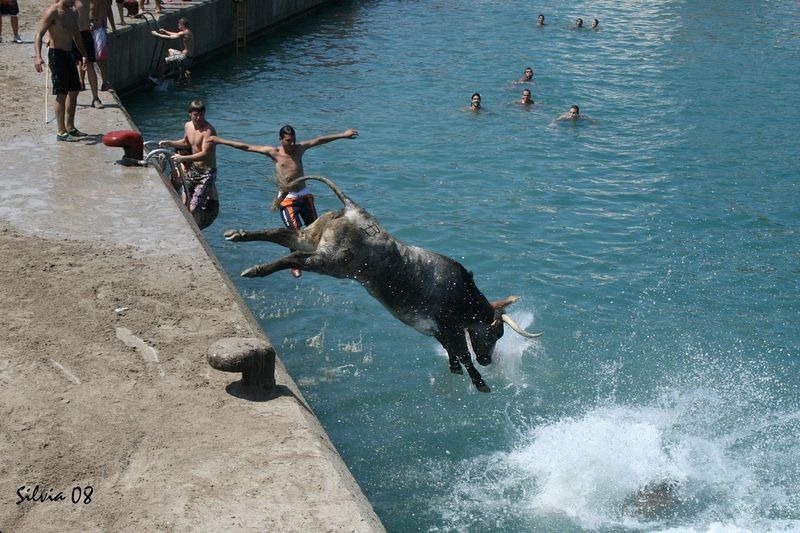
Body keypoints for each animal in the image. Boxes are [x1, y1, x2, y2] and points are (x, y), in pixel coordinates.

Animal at [222, 177, 540, 388]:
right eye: (496, 332)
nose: (488, 361)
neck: (464, 297)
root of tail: (353, 210)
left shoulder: (440, 330)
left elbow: (455, 354)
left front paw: (458, 372)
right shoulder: (450, 326)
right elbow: (463, 353)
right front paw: (480, 382)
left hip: (311, 237)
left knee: (281, 235)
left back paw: (238, 235)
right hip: (331, 261)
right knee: (296, 257)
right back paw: (255, 269)